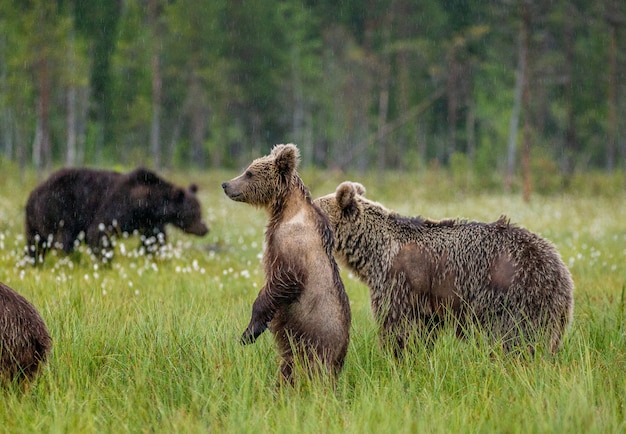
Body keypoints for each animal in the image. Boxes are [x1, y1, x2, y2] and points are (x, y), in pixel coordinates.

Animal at [25, 166, 208, 262]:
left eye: (200, 210)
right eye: (195, 212)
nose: (205, 228)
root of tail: (34, 193)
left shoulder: (149, 222)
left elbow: (154, 239)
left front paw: (153, 255)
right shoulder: (118, 207)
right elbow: (99, 232)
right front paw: (105, 262)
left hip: (33, 221)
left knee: (34, 243)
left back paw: (33, 262)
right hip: (58, 209)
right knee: (63, 238)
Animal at [222, 143, 352, 384]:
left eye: (249, 172)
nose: (225, 184)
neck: (284, 210)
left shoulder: (292, 247)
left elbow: (282, 282)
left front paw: (249, 332)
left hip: (317, 339)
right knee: (289, 365)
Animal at [314, 181, 572, 354]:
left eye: (314, 204)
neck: (372, 252)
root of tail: (559, 269)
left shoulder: (400, 280)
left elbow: (397, 324)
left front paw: (394, 355)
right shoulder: (427, 301)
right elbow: (423, 331)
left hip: (514, 295)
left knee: (515, 338)